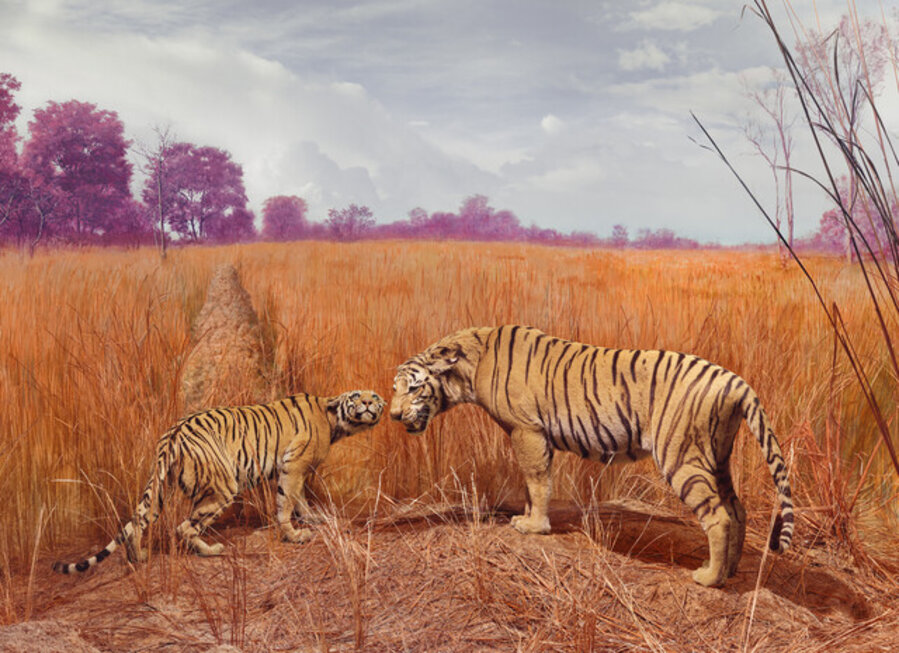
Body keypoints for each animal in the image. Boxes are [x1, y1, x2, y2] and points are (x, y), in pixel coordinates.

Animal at [53, 390, 385, 574]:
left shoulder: (296, 470)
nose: (370, 402)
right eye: (357, 396)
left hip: (160, 488)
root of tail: (172, 435)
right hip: (224, 488)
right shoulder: (294, 465)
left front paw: (312, 518)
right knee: (184, 527)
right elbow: (286, 502)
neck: (334, 420)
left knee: (138, 520)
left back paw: (138, 557)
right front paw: (294, 535)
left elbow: (299, 499)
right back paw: (210, 551)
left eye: (376, 397)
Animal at [389, 325, 793, 587]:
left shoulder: (527, 430)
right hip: (716, 457)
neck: (470, 366)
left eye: (413, 388)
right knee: (737, 509)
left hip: (682, 457)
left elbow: (537, 481)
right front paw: (527, 517)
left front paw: (534, 526)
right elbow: (530, 483)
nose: (392, 415)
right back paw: (729, 573)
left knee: (719, 515)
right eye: (395, 389)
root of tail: (735, 380)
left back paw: (708, 578)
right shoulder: (527, 435)